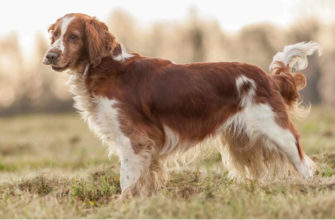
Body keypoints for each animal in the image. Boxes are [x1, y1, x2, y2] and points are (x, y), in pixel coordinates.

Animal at [42, 13, 322, 196]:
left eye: (74, 36)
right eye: (54, 36)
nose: (49, 56)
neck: (107, 68)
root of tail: (268, 77)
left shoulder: (135, 140)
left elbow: (127, 181)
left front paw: (122, 204)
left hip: (277, 131)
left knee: (304, 164)